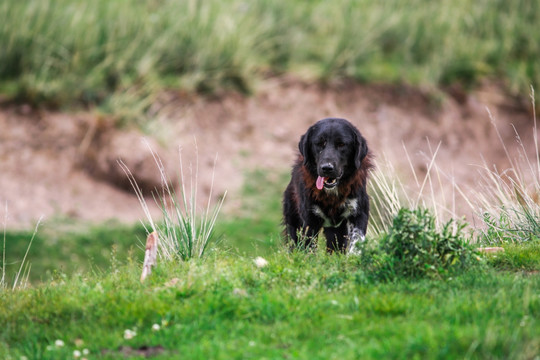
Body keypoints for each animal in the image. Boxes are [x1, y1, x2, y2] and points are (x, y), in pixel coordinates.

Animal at [282, 118, 372, 253]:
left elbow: (356, 242)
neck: (332, 195)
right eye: (319, 143)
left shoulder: (359, 213)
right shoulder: (309, 219)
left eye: (341, 144)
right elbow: (309, 248)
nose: (327, 168)